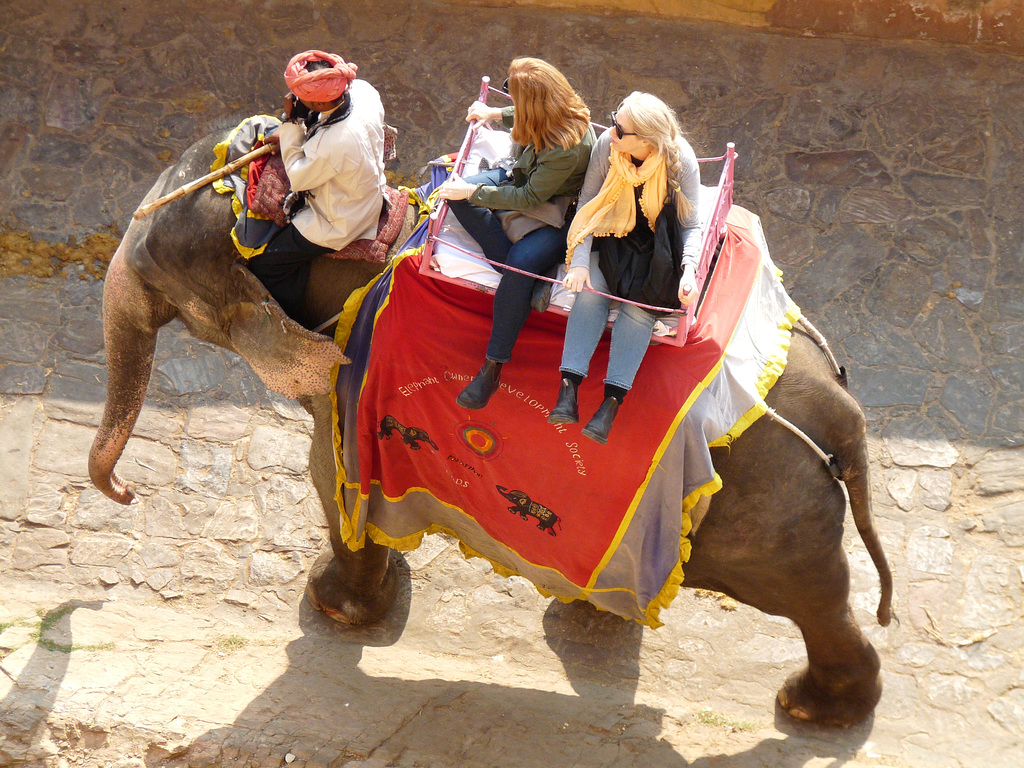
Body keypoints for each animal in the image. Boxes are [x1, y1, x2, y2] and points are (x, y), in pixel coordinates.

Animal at [90, 129, 897, 729]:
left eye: (159, 282)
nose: (127, 492)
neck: (373, 235)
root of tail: (841, 407)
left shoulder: (352, 379)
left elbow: (331, 479)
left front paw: (331, 607)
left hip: (769, 512)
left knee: (812, 598)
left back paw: (808, 708)